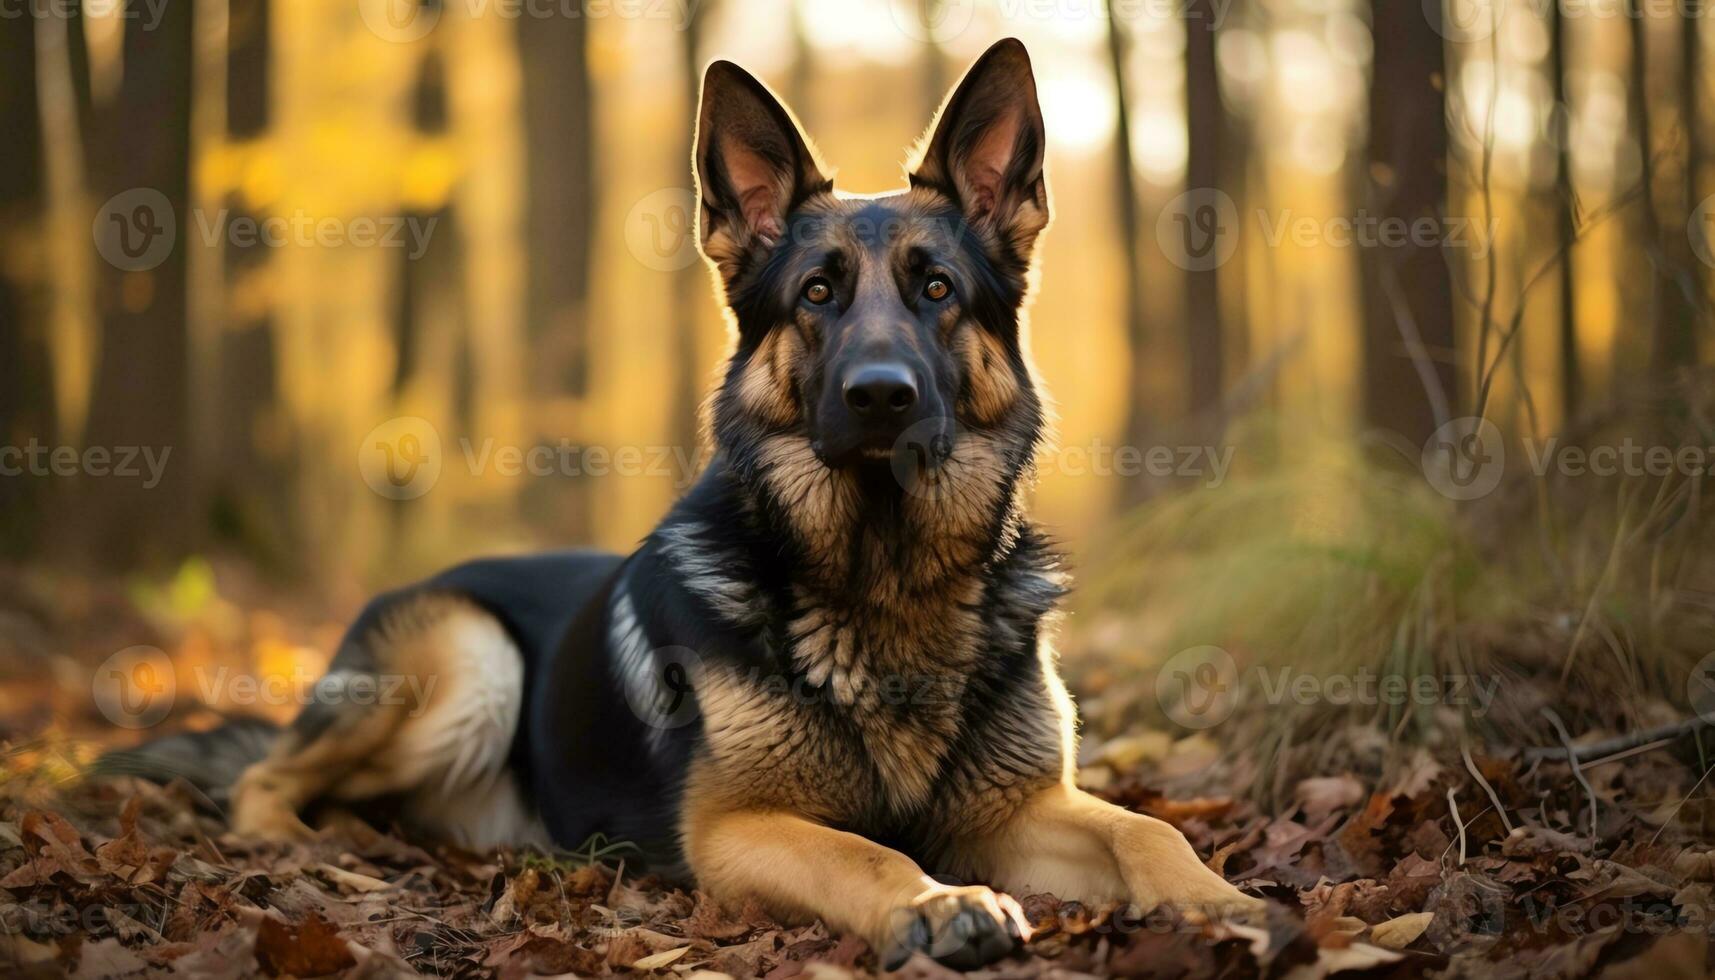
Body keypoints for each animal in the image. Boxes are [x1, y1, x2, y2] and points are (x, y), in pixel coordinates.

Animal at [126, 40, 1262, 974]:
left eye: (937, 289)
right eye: (816, 294)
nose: (881, 396)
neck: (882, 574)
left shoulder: (1022, 806)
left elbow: (1146, 828)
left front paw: (1225, 900)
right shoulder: (741, 828)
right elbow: (865, 854)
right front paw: (937, 903)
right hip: (464, 658)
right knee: (263, 778)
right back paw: (312, 843)